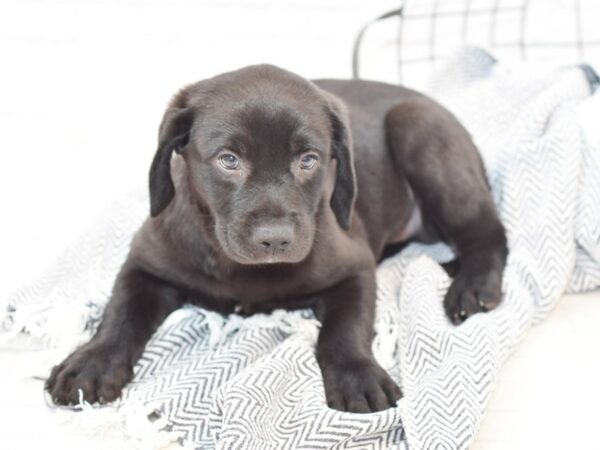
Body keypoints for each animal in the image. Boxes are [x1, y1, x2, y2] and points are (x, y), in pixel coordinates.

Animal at [45, 65, 506, 414]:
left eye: (309, 160)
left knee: (488, 233)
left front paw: (357, 375)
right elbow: (120, 312)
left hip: (420, 129)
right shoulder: (144, 261)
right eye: (229, 160)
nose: (275, 240)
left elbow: (345, 328)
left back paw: (474, 287)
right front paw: (91, 363)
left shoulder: (355, 266)